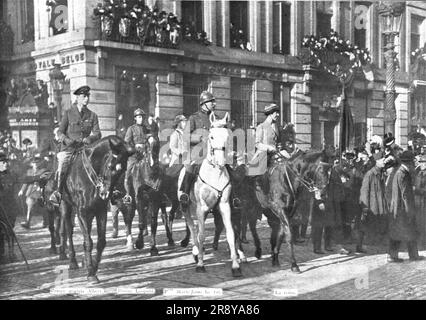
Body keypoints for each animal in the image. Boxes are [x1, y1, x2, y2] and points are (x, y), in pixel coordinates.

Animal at [59, 135, 134, 282]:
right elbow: (88, 241)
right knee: (69, 231)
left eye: (123, 170)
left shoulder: (101, 211)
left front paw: (93, 267)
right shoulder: (81, 212)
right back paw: (73, 261)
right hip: (66, 206)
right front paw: (90, 273)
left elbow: (101, 242)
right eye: (110, 166)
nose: (105, 193)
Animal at [177, 111, 241, 276]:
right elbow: (201, 235)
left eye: (227, 135)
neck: (215, 173)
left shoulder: (225, 206)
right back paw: (195, 251)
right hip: (187, 207)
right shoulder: (202, 208)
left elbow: (230, 233)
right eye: (211, 136)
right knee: (192, 228)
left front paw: (235, 265)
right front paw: (200, 263)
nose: (220, 161)